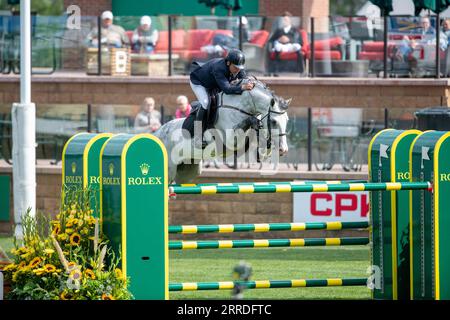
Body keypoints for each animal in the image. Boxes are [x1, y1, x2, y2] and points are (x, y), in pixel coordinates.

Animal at [153, 79, 290, 184]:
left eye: (287, 120)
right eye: (273, 121)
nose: (283, 150)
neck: (239, 107)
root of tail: (157, 134)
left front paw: (263, 152)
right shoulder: (230, 139)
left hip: (188, 171)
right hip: (170, 169)